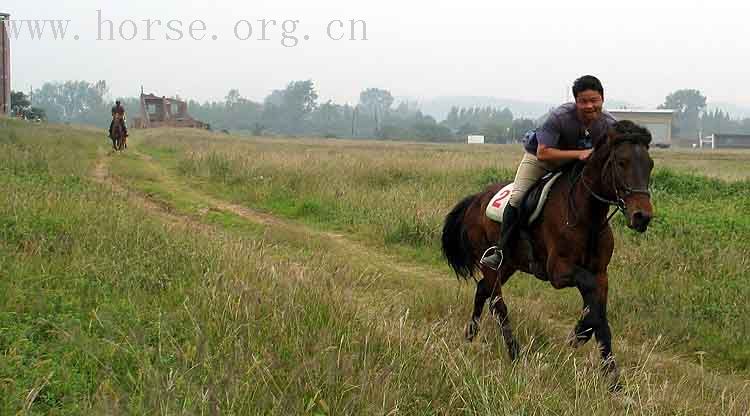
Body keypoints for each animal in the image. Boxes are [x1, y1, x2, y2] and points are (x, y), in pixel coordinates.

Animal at [444, 121, 656, 390]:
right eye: (621, 162)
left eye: (650, 164)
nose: (642, 216)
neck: (587, 217)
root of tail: (476, 200)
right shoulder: (559, 271)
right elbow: (594, 306)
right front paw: (579, 337)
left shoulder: (601, 274)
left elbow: (599, 315)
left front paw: (612, 380)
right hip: (492, 263)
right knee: (497, 303)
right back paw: (515, 353)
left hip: (509, 263)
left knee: (483, 289)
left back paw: (470, 336)